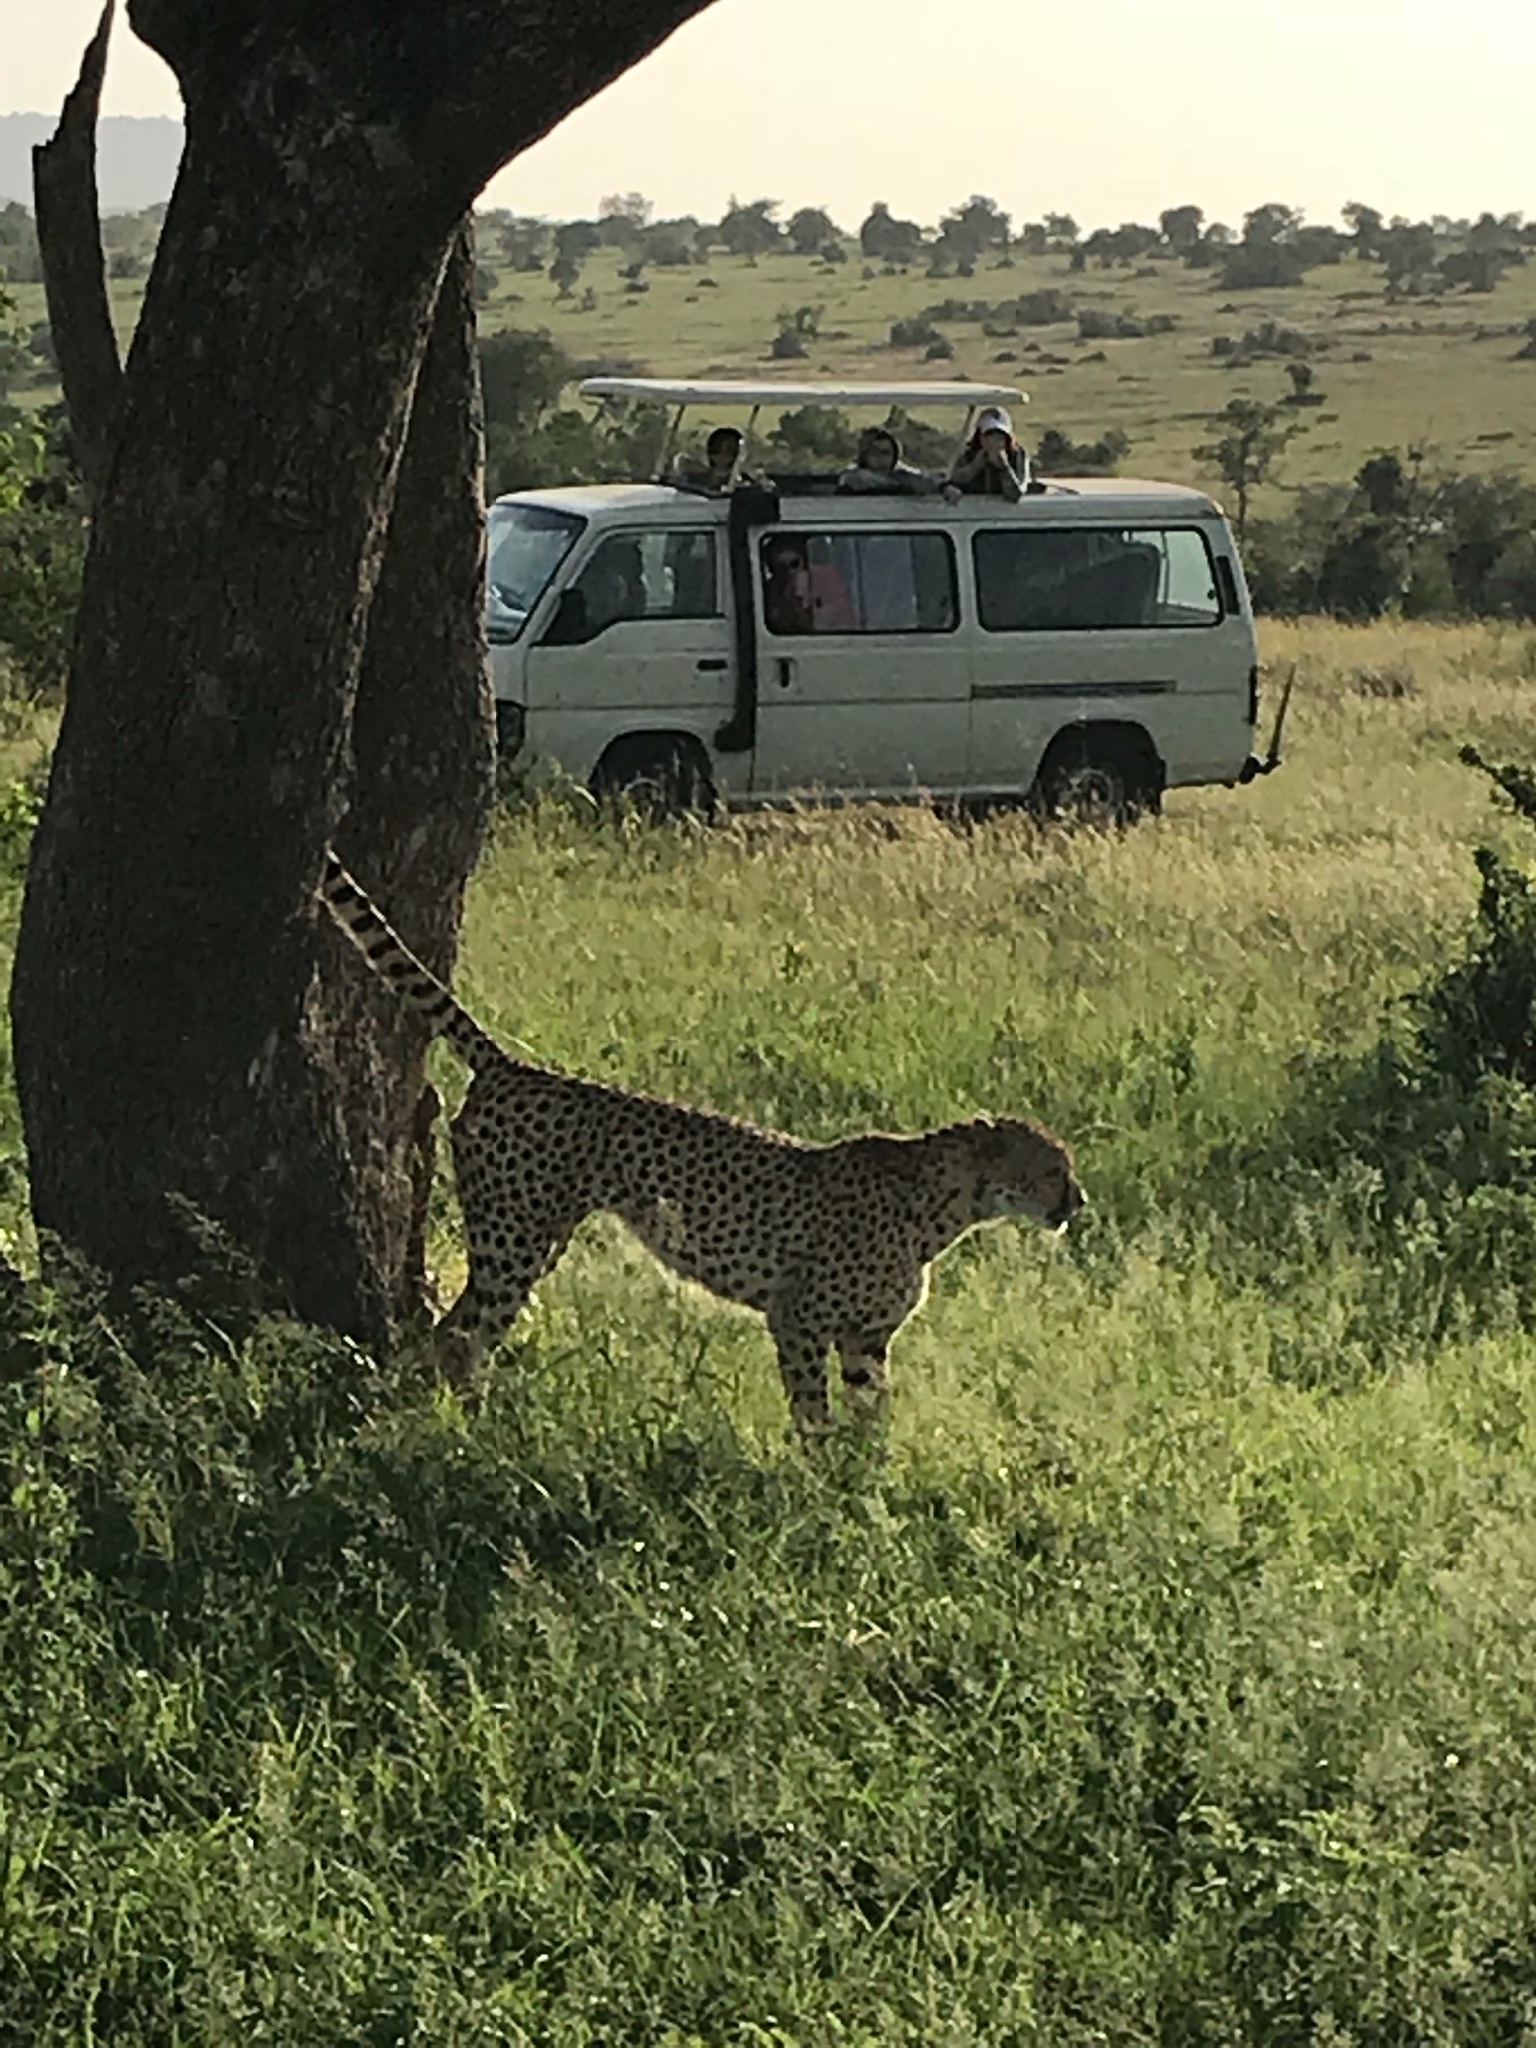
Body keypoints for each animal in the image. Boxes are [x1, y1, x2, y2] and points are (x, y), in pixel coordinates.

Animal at [315, 847, 1081, 1425]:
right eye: (1051, 1169)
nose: (1078, 1204)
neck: (945, 1205)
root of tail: (516, 1067)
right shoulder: (798, 1320)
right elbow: (815, 1418)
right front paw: (822, 1489)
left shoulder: (866, 1341)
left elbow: (871, 1422)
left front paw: (868, 1492)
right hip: (514, 1244)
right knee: (458, 1336)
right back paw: (462, 1419)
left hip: (539, 1238)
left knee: (455, 1336)